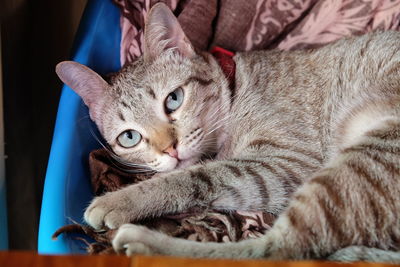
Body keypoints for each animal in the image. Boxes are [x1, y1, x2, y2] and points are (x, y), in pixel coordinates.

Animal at [55, 2, 400, 264]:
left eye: (174, 99)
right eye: (129, 137)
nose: (170, 150)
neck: (236, 86)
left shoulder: (284, 164)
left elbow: (194, 177)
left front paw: (119, 199)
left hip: (364, 160)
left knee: (277, 250)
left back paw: (143, 243)